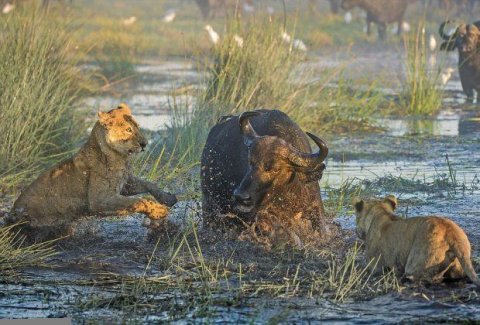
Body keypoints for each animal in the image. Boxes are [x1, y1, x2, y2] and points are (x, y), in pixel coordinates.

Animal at [200, 109, 330, 246]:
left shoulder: (315, 206)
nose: (241, 196)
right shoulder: (263, 216)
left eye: (276, 168)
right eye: (250, 161)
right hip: (209, 204)